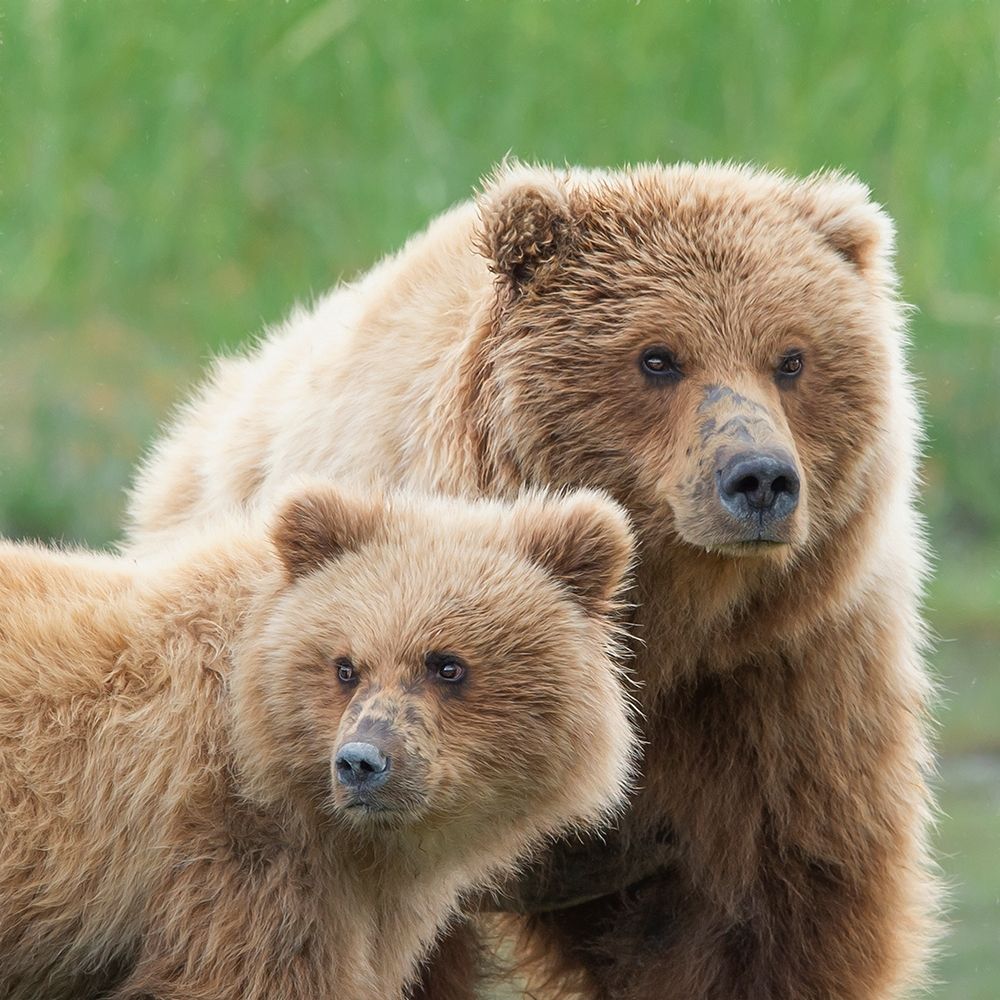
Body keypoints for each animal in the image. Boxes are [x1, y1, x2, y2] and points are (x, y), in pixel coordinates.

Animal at [126, 162, 939, 1000]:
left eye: (792, 358)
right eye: (658, 357)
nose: (760, 479)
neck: (660, 621)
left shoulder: (780, 681)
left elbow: (779, 918)